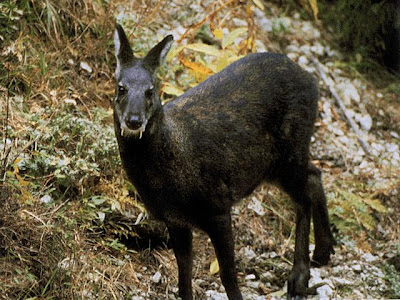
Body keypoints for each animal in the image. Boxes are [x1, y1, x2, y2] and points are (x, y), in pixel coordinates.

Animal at [112, 24, 334, 300]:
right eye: (121, 88)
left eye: (150, 90)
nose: (133, 120)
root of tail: (311, 80)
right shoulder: (175, 220)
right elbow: (183, 279)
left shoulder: (217, 207)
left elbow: (228, 276)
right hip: (274, 164)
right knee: (314, 175)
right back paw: (323, 252)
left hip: (291, 148)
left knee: (304, 194)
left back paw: (299, 278)